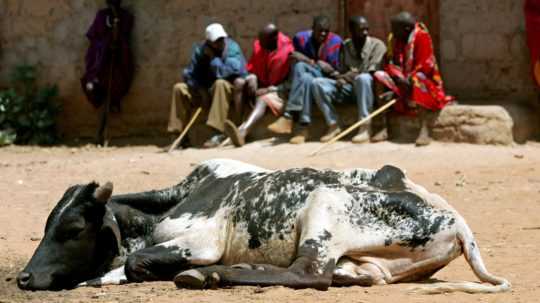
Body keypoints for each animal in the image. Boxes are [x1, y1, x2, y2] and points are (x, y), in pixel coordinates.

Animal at [14, 160, 508, 294]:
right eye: (47, 224)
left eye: (73, 228)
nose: (23, 278)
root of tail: (457, 222)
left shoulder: (202, 241)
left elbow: (136, 262)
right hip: (365, 261)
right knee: (341, 275)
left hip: (324, 206)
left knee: (309, 274)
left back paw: (212, 276)